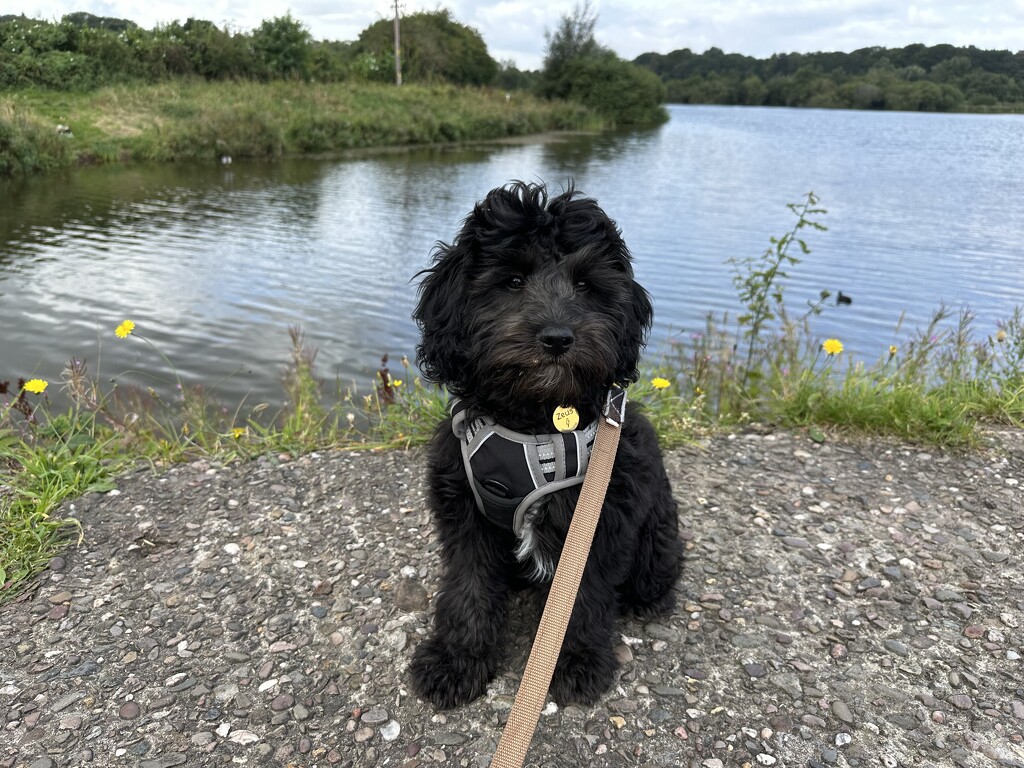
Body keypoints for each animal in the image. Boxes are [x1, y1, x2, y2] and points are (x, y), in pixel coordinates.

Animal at [407, 180, 679, 708]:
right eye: (512, 281)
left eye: (585, 286)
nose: (557, 338)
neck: (536, 420)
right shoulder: (465, 510)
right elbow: (469, 588)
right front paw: (457, 661)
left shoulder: (598, 517)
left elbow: (582, 596)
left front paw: (576, 662)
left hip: (655, 537)